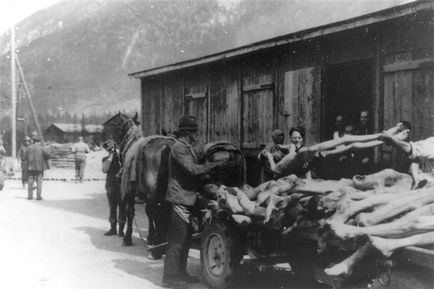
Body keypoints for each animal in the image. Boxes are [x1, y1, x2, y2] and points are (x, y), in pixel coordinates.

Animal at [105, 111, 176, 249]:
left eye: (114, 124)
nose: (107, 143)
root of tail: (167, 147)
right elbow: (149, 214)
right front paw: (150, 236)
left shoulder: (129, 192)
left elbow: (131, 213)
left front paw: (128, 237)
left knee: (158, 213)